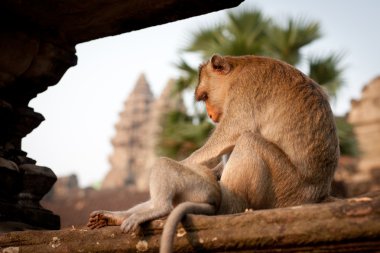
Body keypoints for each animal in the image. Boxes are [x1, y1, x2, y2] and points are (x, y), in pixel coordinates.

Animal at [88, 55, 338, 253]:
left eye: (205, 96)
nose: (209, 115)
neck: (239, 69)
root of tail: (317, 195)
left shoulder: (245, 89)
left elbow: (233, 131)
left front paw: (185, 164)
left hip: (284, 190)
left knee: (247, 140)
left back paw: (225, 206)